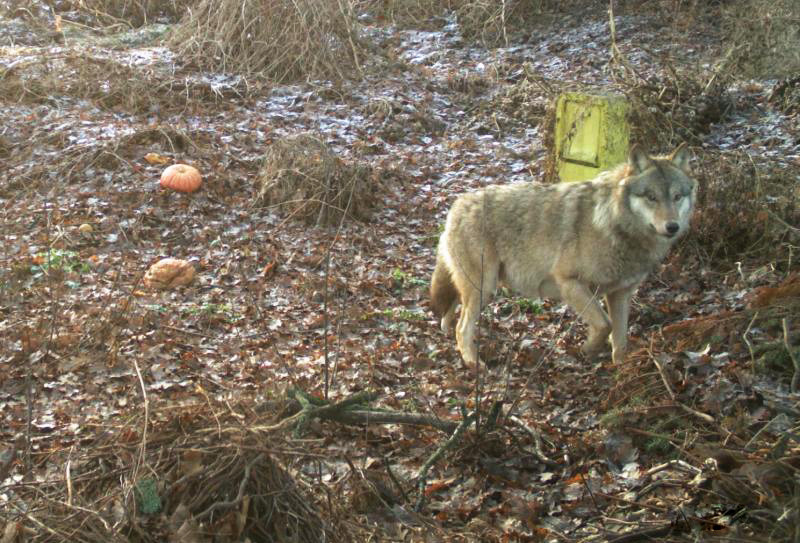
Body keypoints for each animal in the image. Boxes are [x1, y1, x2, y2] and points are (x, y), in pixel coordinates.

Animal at [432, 144, 692, 368]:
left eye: (677, 196)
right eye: (651, 197)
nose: (672, 227)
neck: (614, 223)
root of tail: (457, 205)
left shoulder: (621, 294)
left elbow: (620, 341)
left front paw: (621, 372)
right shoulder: (570, 282)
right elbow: (604, 325)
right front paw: (587, 350)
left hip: (479, 287)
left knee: (453, 308)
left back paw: (448, 331)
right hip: (484, 287)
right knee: (462, 328)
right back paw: (473, 364)